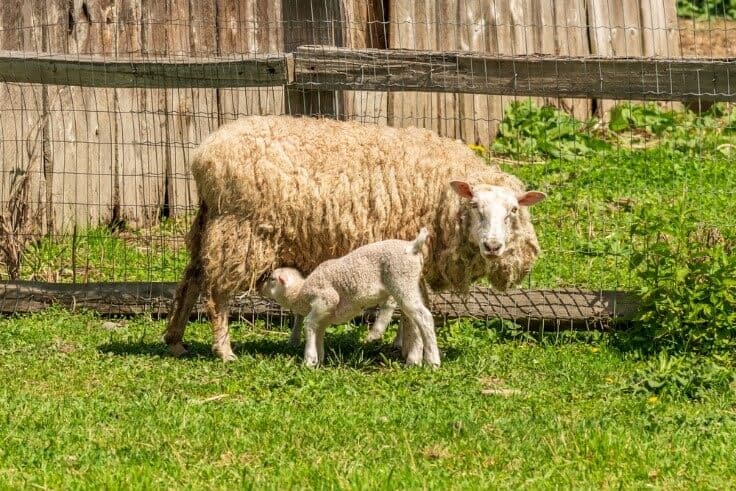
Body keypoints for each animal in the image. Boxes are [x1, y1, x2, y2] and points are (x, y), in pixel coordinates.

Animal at [264, 229, 436, 368]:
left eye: (272, 279)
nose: (260, 287)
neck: (300, 292)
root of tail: (412, 247)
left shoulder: (326, 299)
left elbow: (310, 324)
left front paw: (309, 360)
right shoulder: (325, 315)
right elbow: (319, 332)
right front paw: (319, 358)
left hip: (400, 280)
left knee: (424, 316)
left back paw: (432, 361)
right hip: (411, 284)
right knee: (415, 320)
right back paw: (417, 358)